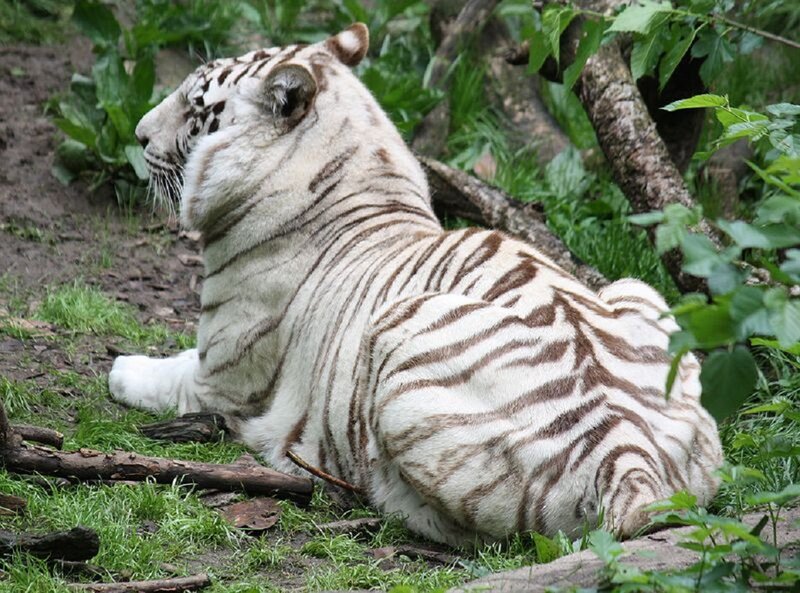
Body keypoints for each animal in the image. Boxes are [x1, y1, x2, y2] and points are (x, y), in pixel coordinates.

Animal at [108, 23, 724, 547]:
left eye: (195, 106)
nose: (137, 134)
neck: (353, 170)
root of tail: (632, 462)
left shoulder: (222, 376)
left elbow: (160, 377)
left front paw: (121, 369)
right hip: (638, 294)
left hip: (396, 339)